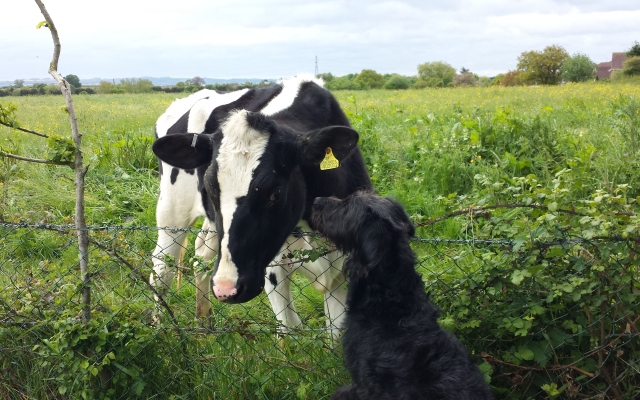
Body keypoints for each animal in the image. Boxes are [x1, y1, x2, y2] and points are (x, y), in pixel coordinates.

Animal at [151, 75, 370, 334]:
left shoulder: (342, 271)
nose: (226, 288)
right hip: (172, 212)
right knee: (161, 267)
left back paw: (204, 322)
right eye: (210, 188)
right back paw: (158, 329)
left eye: (275, 193)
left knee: (201, 254)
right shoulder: (273, 268)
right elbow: (289, 329)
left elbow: (336, 334)